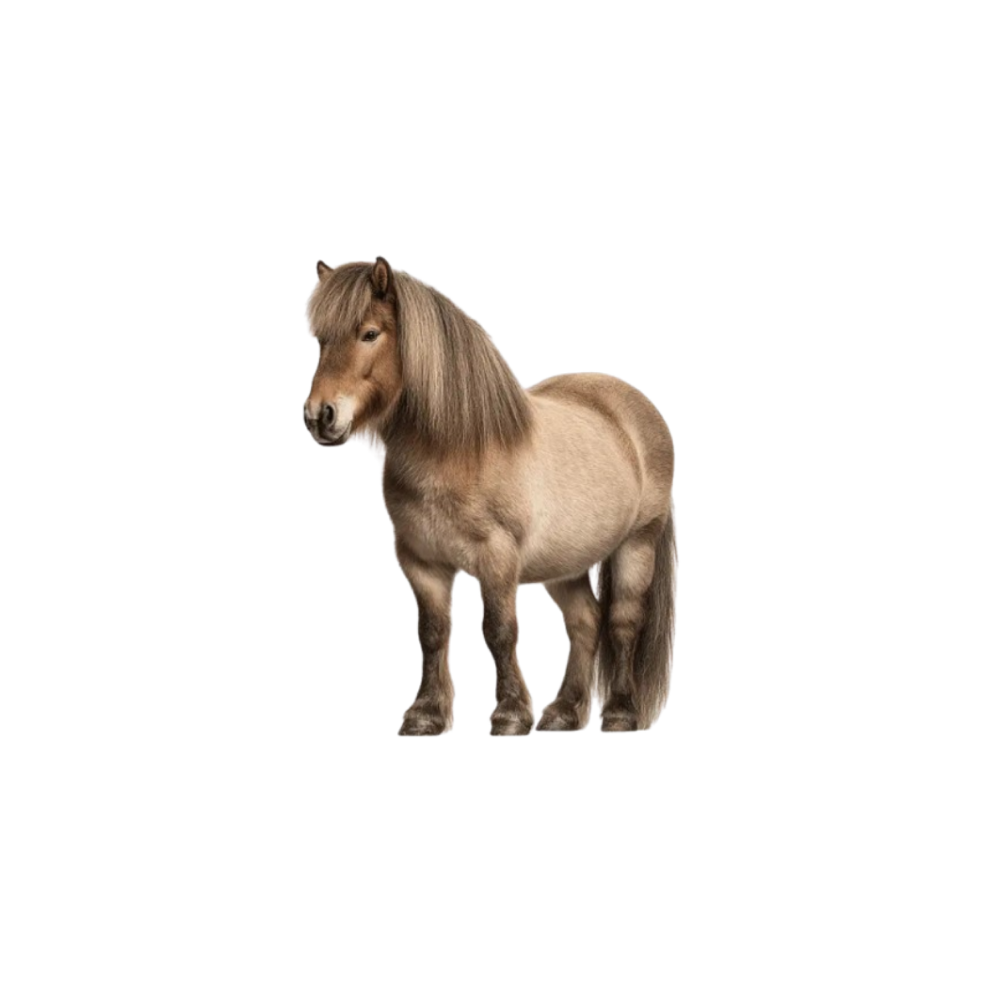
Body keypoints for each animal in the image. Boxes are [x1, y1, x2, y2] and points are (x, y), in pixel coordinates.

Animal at [303, 258, 675, 735]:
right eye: (321, 339)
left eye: (369, 333)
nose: (319, 416)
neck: (456, 450)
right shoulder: (421, 562)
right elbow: (432, 633)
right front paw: (425, 713)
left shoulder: (497, 559)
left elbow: (499, 631)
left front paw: (510, 713)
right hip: (566, 563)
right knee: (584, 622)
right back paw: (562, 711)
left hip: (637, 544)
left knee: (623, 623)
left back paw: (621, 713)